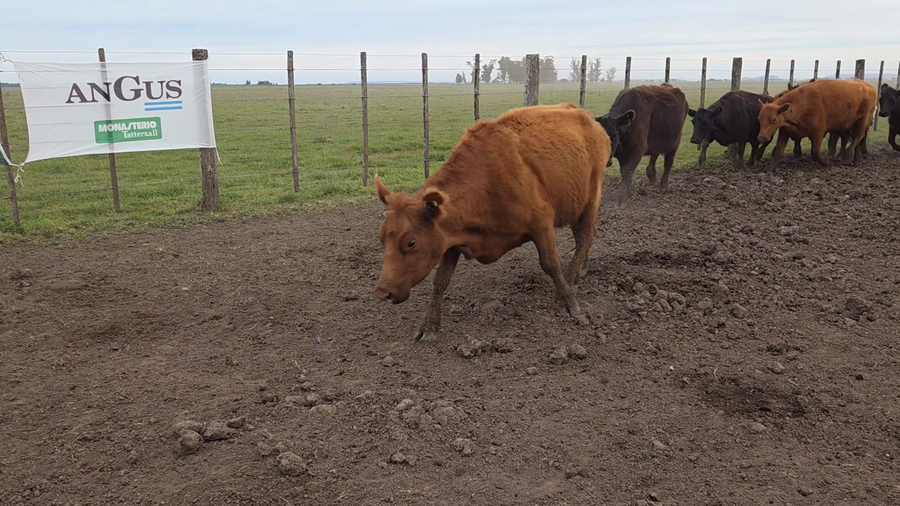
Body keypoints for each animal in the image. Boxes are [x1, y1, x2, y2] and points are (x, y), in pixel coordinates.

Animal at [374, 102, 611, 342]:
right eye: (382, 238)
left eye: (411, 242)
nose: (383, 292)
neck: (486, 183)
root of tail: (586, 116)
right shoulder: (450, 240)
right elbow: (440, 281)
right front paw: (429, 325)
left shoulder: (542, 223)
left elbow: (550, 264)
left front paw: (569, 303)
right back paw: (581, 269)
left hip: (592, 195)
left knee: (585, 236)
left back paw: (572, 275)